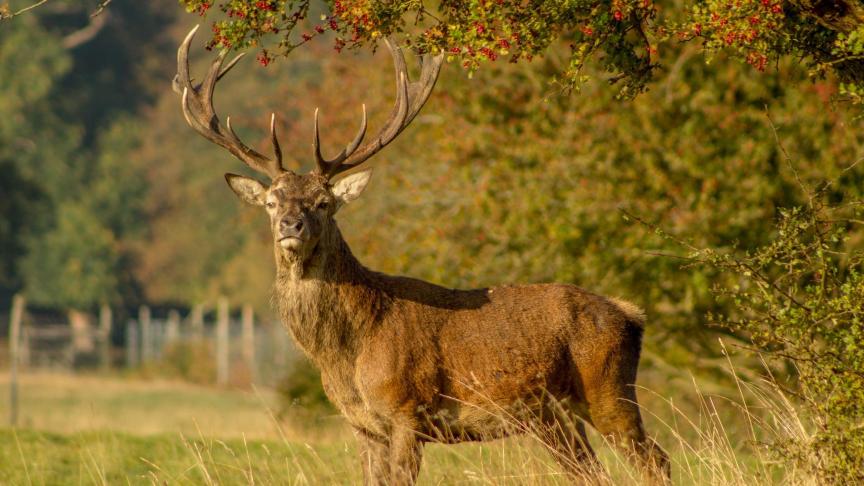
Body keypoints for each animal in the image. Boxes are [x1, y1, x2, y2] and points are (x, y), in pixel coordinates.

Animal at [173, 25, 670, 485]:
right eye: (273, 201)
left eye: (323, 202)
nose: (290, 225)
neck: (347, 355)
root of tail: (631, 315)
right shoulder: (363, 426)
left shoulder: (406, 411)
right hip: (553, 416)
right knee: (592, 472)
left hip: (608, 388)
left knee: (656, 461)